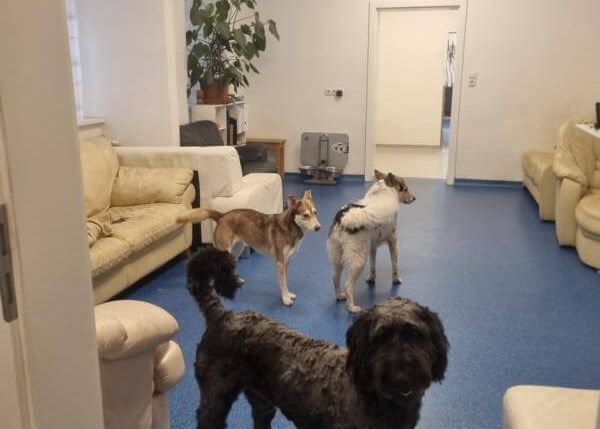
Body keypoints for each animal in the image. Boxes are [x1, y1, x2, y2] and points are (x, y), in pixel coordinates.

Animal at [177, 190, 320, 306]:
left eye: (315, 213)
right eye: (305, 215)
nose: (318, 228)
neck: (290, 227)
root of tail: (222, 215)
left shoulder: (286, 263)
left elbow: (286, 282)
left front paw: (288, 294)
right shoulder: (280, 263)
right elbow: (283, 283)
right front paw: (285, 299)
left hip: (235, 251)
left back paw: (236, 280)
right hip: (224, 251)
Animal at [187, 247, 449, 429]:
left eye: (415, 335)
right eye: (380, 339)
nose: (401, 373)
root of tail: (222, 315)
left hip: (262, 401)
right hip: (215, 397)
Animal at [327, 170, 415, 313]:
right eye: (405, 188)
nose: (414, 198)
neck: (383, 192)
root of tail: (344, 217)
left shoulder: (372, 247)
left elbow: (373, 266)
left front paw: (372, 279)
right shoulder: (393, 241)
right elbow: (395, 264)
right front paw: (396, 279)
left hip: (338, 257)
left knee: (335, 278)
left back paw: (339, 296)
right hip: (358, 261)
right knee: (348, 285)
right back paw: (352, 307)